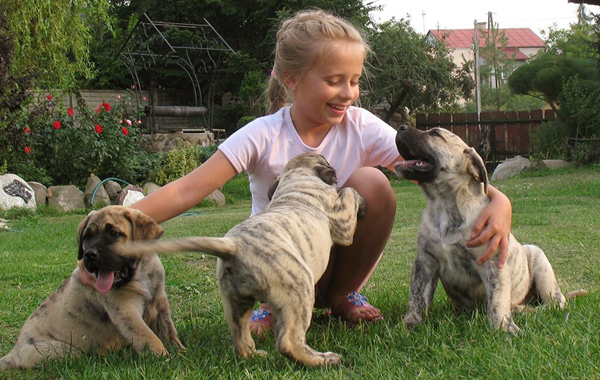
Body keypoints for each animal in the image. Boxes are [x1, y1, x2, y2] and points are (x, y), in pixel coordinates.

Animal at [0, 206, 184, 370]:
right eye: (86, 237)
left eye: (114, 234)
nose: (89, 254)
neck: (140, 274)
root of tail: (13, 354)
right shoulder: (125, 310)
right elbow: (147, 336)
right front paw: (164, 359)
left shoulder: (159, 301)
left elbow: (168, 329)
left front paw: (179, 351)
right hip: (63, 350)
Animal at [115, 153, 364, 366]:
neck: (295, 181)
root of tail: (234, 246)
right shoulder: (342, 224)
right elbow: (349, 192)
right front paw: (356, 196)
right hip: (299, 290)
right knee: (289, 341)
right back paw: (324, 359)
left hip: (236, 302)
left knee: (241, 338)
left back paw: (255, 355)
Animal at [394, 126, 568, 334]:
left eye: (435, 133)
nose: (401, 127)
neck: (443, 205)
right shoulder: (426, 262)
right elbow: (417, 295)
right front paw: (410, 323)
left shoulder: (492, 263)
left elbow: (497, 300)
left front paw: (503, 328)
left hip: (539, 260)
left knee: (556, 303)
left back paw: (525, 309)